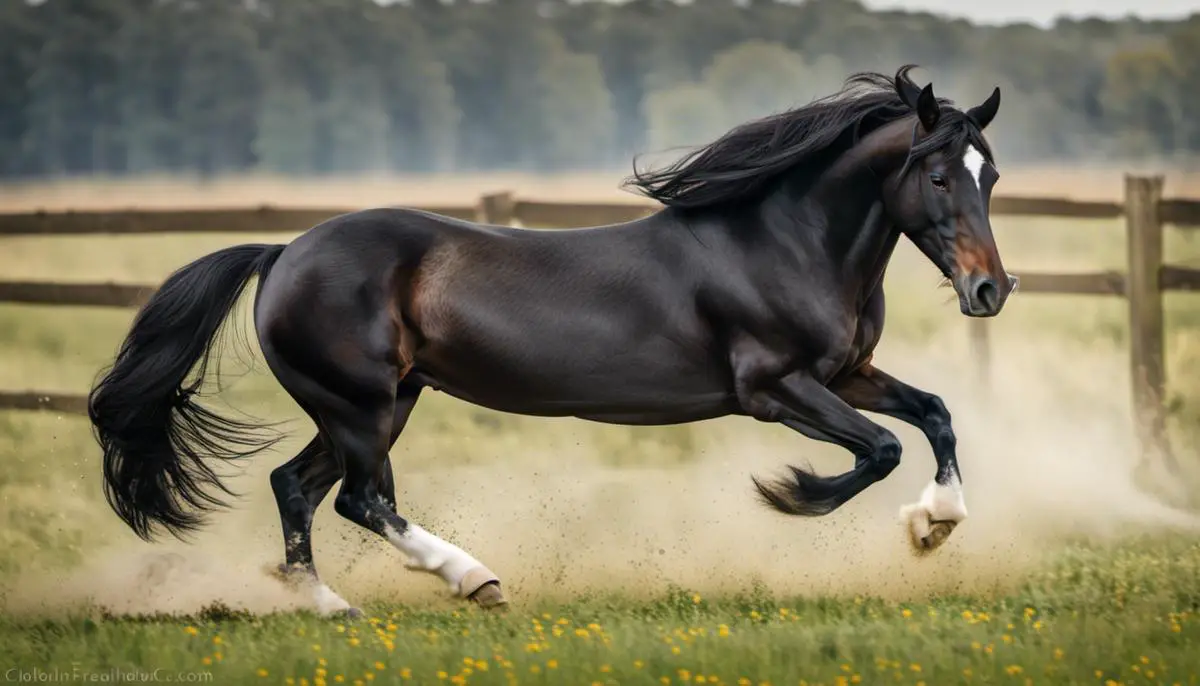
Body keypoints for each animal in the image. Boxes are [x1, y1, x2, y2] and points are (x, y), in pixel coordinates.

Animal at [88, 66, 1012, 614]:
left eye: (991, 175)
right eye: (937, 175)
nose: (989, 290)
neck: (785, 242)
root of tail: (283, 253)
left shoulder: (847, 371)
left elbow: (934, 415)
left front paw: (935, 525)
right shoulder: (773, 388)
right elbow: (880, 449)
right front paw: (795, 493)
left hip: (372, 404)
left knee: (298, 488)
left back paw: (330, 606)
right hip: (362, 406)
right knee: (360, 498)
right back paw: (474, 579)